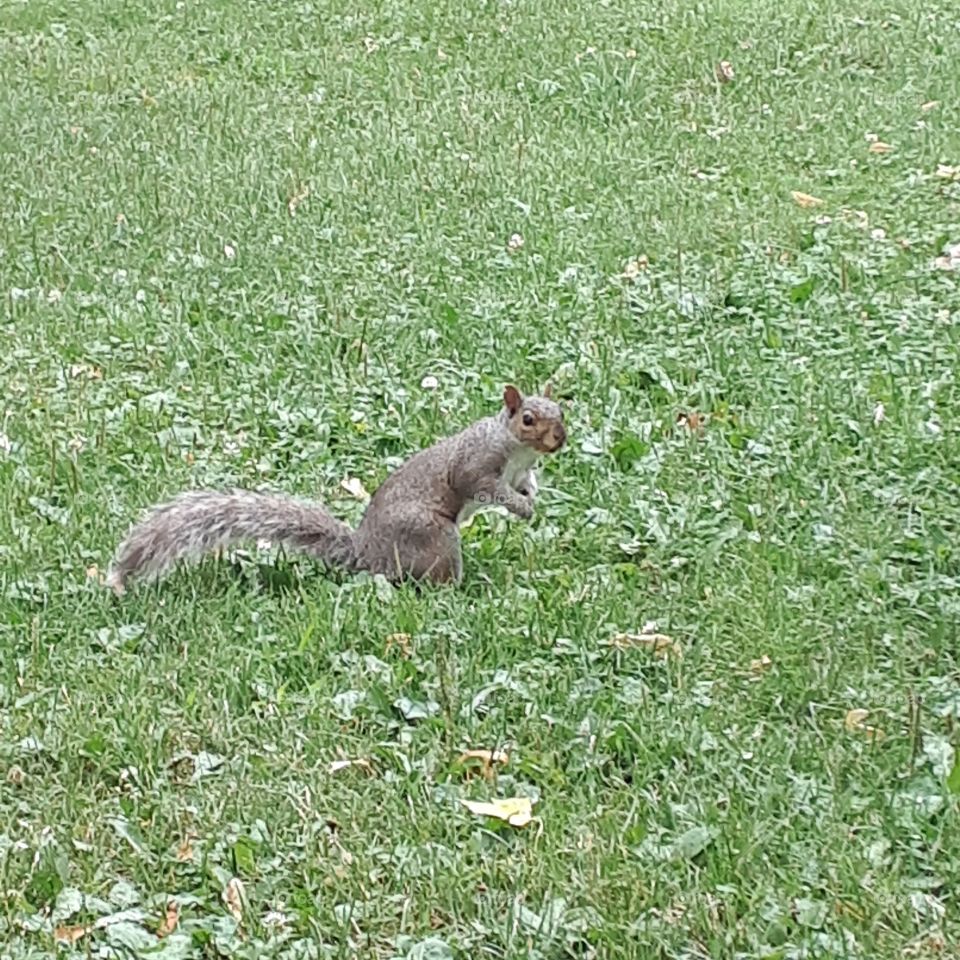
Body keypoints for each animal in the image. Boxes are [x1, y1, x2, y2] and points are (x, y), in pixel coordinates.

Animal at [106, 384, 566, 593]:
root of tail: (366, 553)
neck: (516, 450)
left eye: (561, 410)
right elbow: (487, 489)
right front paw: (521, 509)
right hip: (431, 536)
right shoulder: (475, 468)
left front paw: (533, 500)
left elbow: (524, 485)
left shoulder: (520, 472)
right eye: (527, 418)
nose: (559, 438)